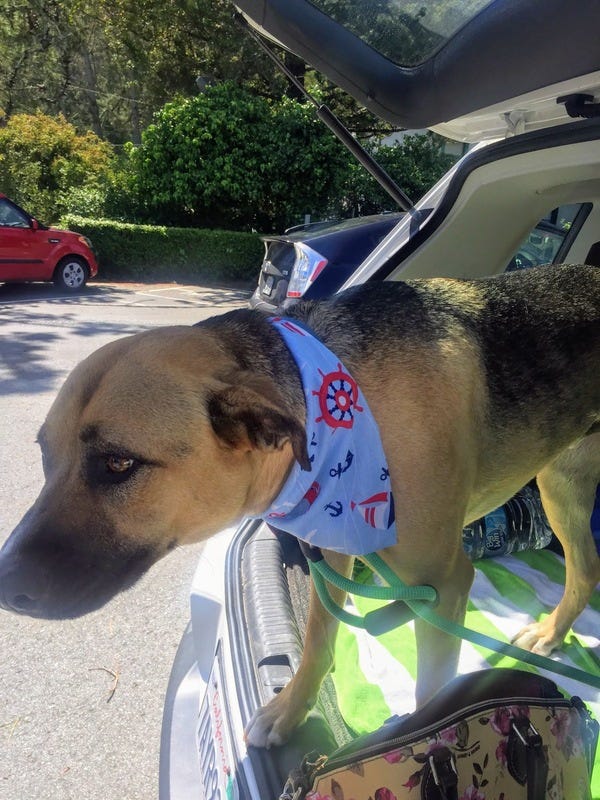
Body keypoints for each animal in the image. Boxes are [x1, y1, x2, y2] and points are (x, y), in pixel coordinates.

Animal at [1, 264, 600, 752]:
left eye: (119, 463)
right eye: (45, 455)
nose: (5, 587)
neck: (342, 398)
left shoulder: (447, 583)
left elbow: (433, 699)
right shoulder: (336, 549)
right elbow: (316, 640)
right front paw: (292, 711)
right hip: (560, 486)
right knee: (587, 570)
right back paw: (551, 633)